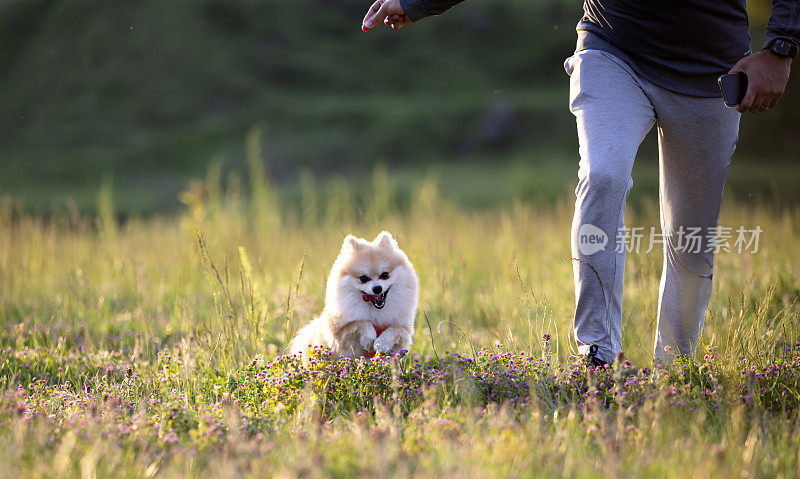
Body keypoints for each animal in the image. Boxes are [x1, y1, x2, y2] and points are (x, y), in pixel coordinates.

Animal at [292, 232, 418, 360]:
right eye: (363, 278)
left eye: (385, 275)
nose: (377, 288)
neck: (375, 311)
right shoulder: (339, 331)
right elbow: (361, 322)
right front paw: (369, 339)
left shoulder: (404, 331)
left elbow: (394, 330)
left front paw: (382, 343)